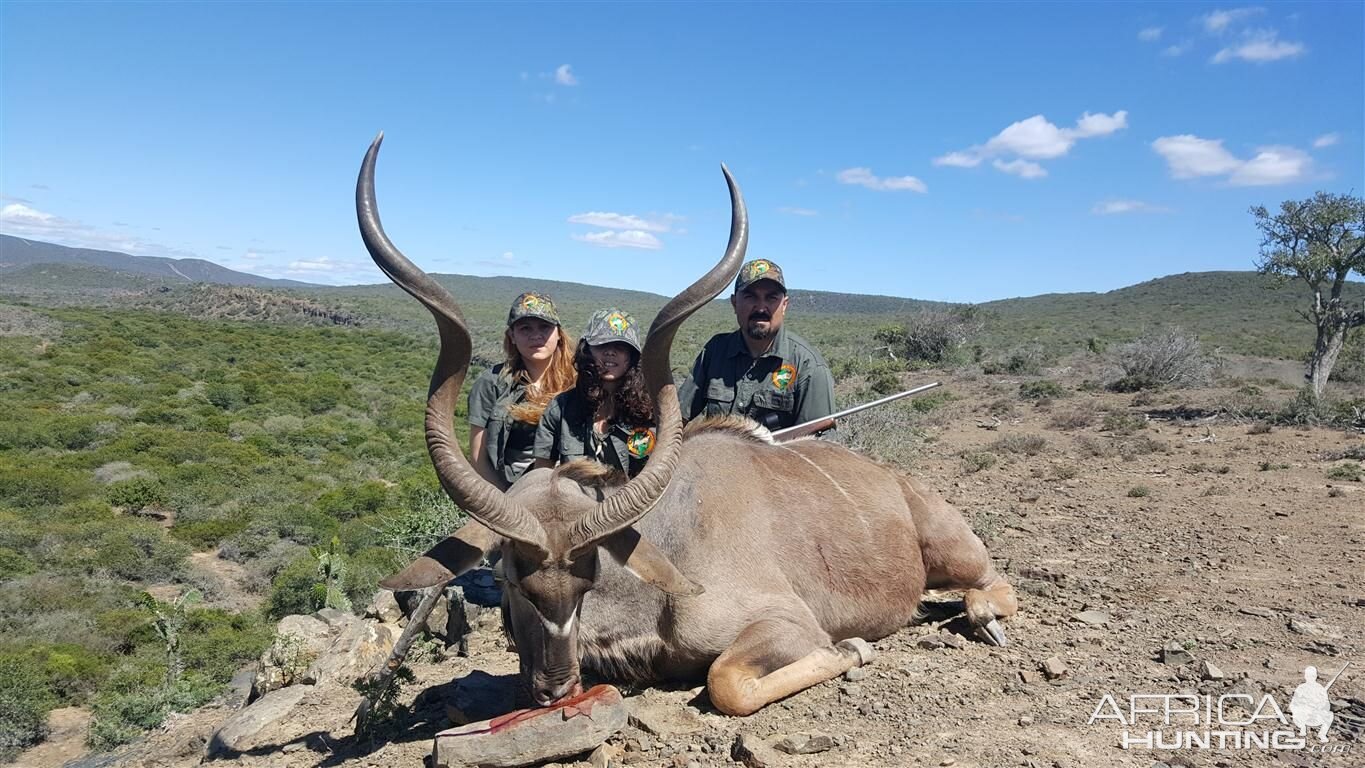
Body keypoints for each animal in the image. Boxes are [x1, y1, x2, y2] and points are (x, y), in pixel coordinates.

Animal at [357, 135, 1021, 720]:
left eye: (587, 579)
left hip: (957, 552)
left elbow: (726, 680)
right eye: (508, 578)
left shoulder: (788, 624)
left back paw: (983, 619)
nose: (554, 689)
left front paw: (854, 648)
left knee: (993, 584)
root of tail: (901, 484)